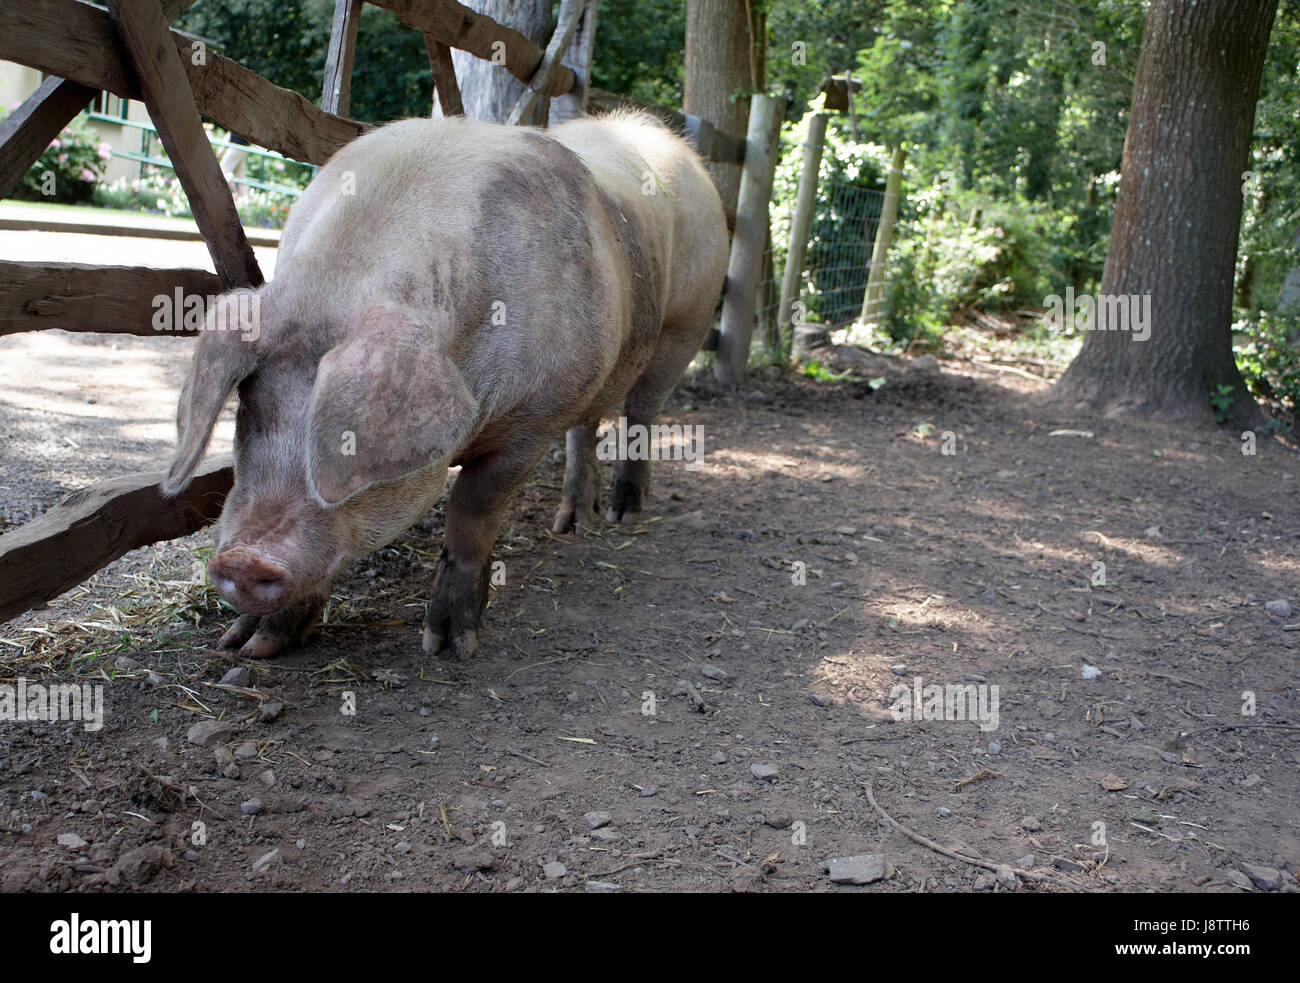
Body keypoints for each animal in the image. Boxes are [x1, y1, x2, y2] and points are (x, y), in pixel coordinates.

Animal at [161, 113, 728, 660]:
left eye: (345, 442)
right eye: (249, 411)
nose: (243, 560)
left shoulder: (533, 422)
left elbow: (471, 515)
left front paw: (449, 647)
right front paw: (246, 647)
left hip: (687, 325)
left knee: (641, 414)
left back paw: (622, 514)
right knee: (585, 431)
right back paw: (570, 524)